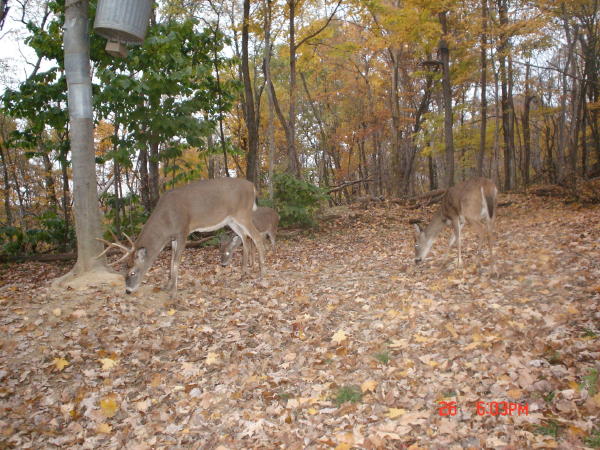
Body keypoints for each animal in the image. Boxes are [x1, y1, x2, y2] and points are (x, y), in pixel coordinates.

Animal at [98, 178, 264, 298]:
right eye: (123, 271)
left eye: (132, 272)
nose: (128, 291)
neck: (166, 220)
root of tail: (252, 186)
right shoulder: (173, 237)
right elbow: (171, 260)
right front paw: (167, 286)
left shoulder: (183, 231)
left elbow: (176, 262)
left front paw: (173, 292)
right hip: (231, 220)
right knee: (245, 238)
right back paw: (243, 273)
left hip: (243, 213)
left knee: (257, 238)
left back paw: (262, 275)